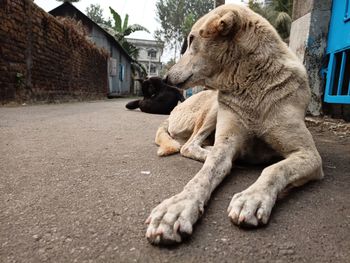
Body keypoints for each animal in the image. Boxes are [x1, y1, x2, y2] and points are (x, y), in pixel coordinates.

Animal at [145, 3, 322, 245]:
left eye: (191, 40)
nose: (166, 78)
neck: (251, 83)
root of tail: (170, 114)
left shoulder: (309, 154)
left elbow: (275, 169)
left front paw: (252, 197)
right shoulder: (226, 140)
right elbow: (201, 177)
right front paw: (176, 207)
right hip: (214, 106)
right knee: (188, 146)